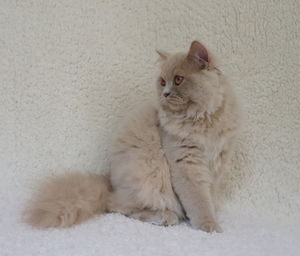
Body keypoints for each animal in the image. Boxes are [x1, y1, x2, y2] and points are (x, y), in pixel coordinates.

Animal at [24, 39, 241, 232]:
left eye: (178, 79)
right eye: (162, 82)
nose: (165, 93)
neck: (203, 120)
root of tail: (110, 183)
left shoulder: (218, 163)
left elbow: (208, 195)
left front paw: (213, 214)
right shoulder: (186, 164)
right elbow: (198, 200)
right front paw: (209, 226)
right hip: (145, 176)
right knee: (117, 205)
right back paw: (165, 217)